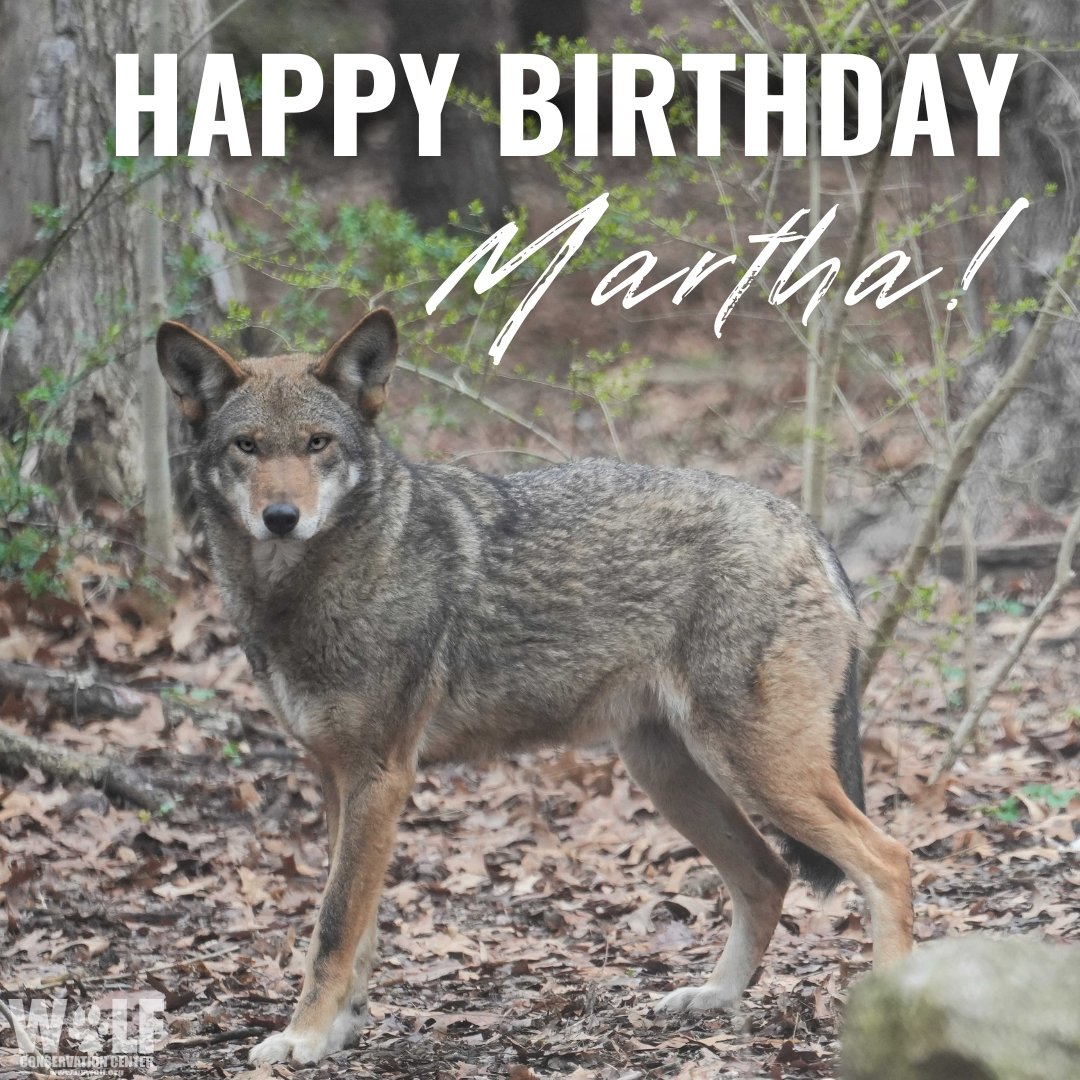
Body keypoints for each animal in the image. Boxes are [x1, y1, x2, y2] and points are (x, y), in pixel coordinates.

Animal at [157, 309, 913, 1065]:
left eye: (318, 444)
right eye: (248, 447)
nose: (281, 517)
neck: (311, 587)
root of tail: (804, 524)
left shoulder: (381, 777)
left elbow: (336, 924)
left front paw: (303, 1037)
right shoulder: (338, 778)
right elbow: (355, 927)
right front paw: (341, 1029)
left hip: (761, 771)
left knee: (889, 860)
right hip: (673, 776)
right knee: (768, 876)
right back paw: (713, 997)